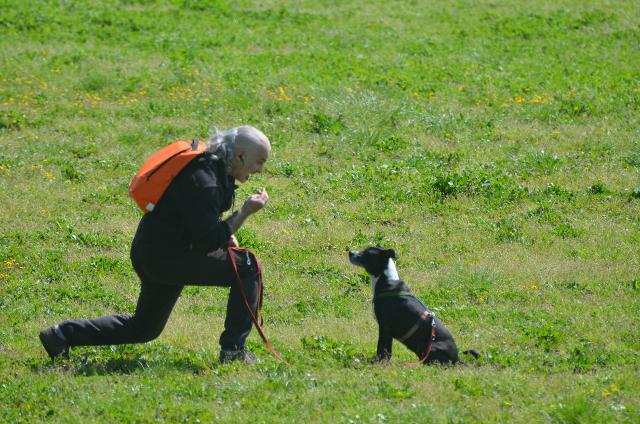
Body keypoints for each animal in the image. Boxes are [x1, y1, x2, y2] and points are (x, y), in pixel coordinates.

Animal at [348, 245, 478, 364]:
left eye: (367, 254)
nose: (350, 252)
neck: (386, 279)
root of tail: (457, 359)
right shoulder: (389, 331)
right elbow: (388, 351)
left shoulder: (384, 326)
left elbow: (380, 348)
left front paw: (376, 363)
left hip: (426, 346)